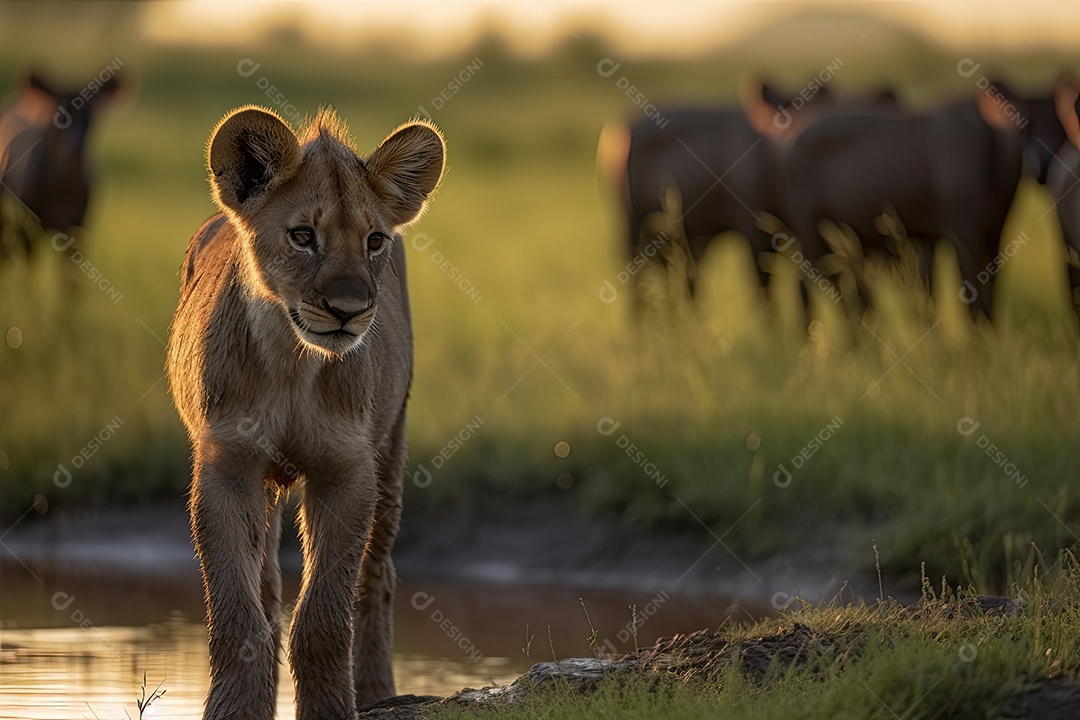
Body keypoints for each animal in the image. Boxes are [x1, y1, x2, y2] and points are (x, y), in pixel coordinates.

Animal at [166, 105, 445, 720]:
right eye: (302, 236)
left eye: (373, 241)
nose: (348, 309)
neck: (293, 362)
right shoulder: (228, 465)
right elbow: (238, 613)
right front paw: (234, 709)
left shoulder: (347, 471)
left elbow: (323, 616)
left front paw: (331, 708)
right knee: (268, 589)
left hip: (391, 450)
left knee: (377, 574)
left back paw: (378, 693)